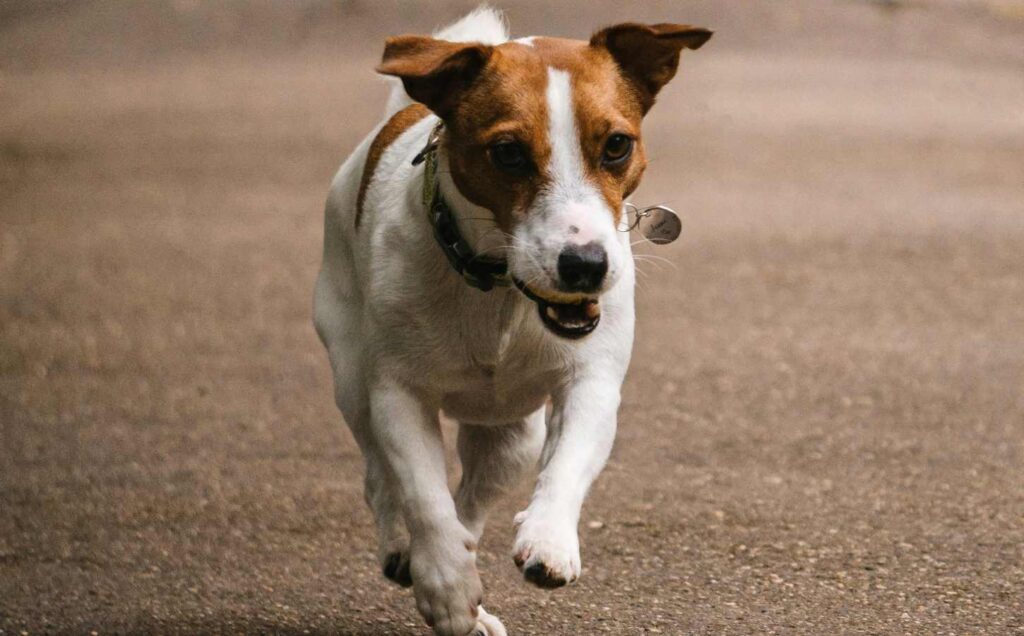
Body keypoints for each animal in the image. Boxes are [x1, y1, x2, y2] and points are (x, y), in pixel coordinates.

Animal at [313, 6, 712, 634]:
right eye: (507, 153)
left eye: (617, 146)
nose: (586, 265)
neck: (500, 291)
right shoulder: (397, 394)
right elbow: (423, 496)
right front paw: (446, 586)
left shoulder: (592, 382)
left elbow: (566, 463)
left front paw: (548, 538)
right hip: (352, 375)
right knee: (382, 478)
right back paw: (407, 549)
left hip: (512, 438)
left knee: (472, 502)